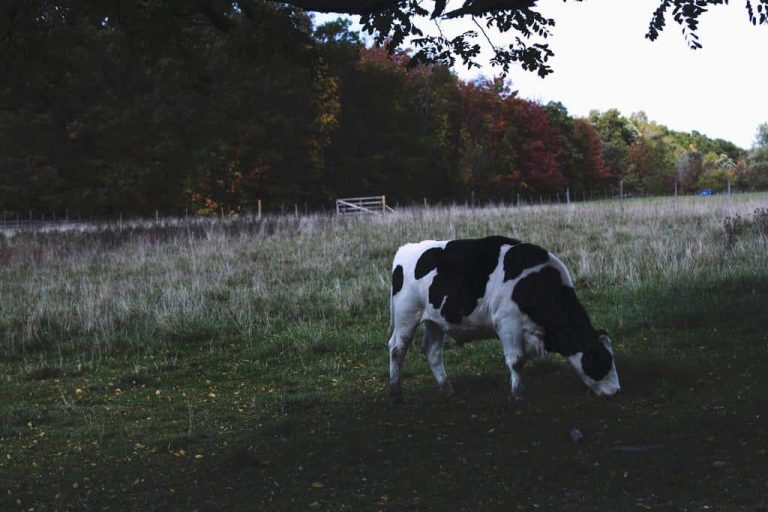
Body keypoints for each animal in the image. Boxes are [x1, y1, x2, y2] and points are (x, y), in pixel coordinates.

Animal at [387, 236, 620, 402]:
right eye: (601, 359)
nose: (617, 391)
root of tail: (406, 249)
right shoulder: (508, 323)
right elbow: (516, 361)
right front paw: (518, 394)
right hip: (407, 314)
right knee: (397, 348)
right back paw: (395, 392)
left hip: (435, 321)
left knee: (433, 352)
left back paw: (448, 389)